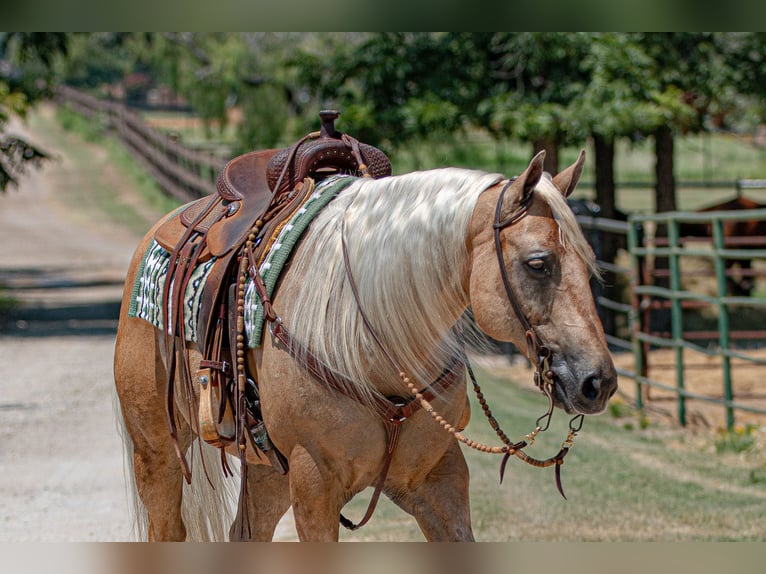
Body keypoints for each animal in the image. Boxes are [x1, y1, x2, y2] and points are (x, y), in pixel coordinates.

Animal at [112, 151, 616, 544]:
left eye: (589, 262)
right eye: (538, 263)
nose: (599, 382)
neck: (371, 341)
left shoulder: (437, 478)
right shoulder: (314, 485)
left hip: (268, 470)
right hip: (156, 452)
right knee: (166, 528)